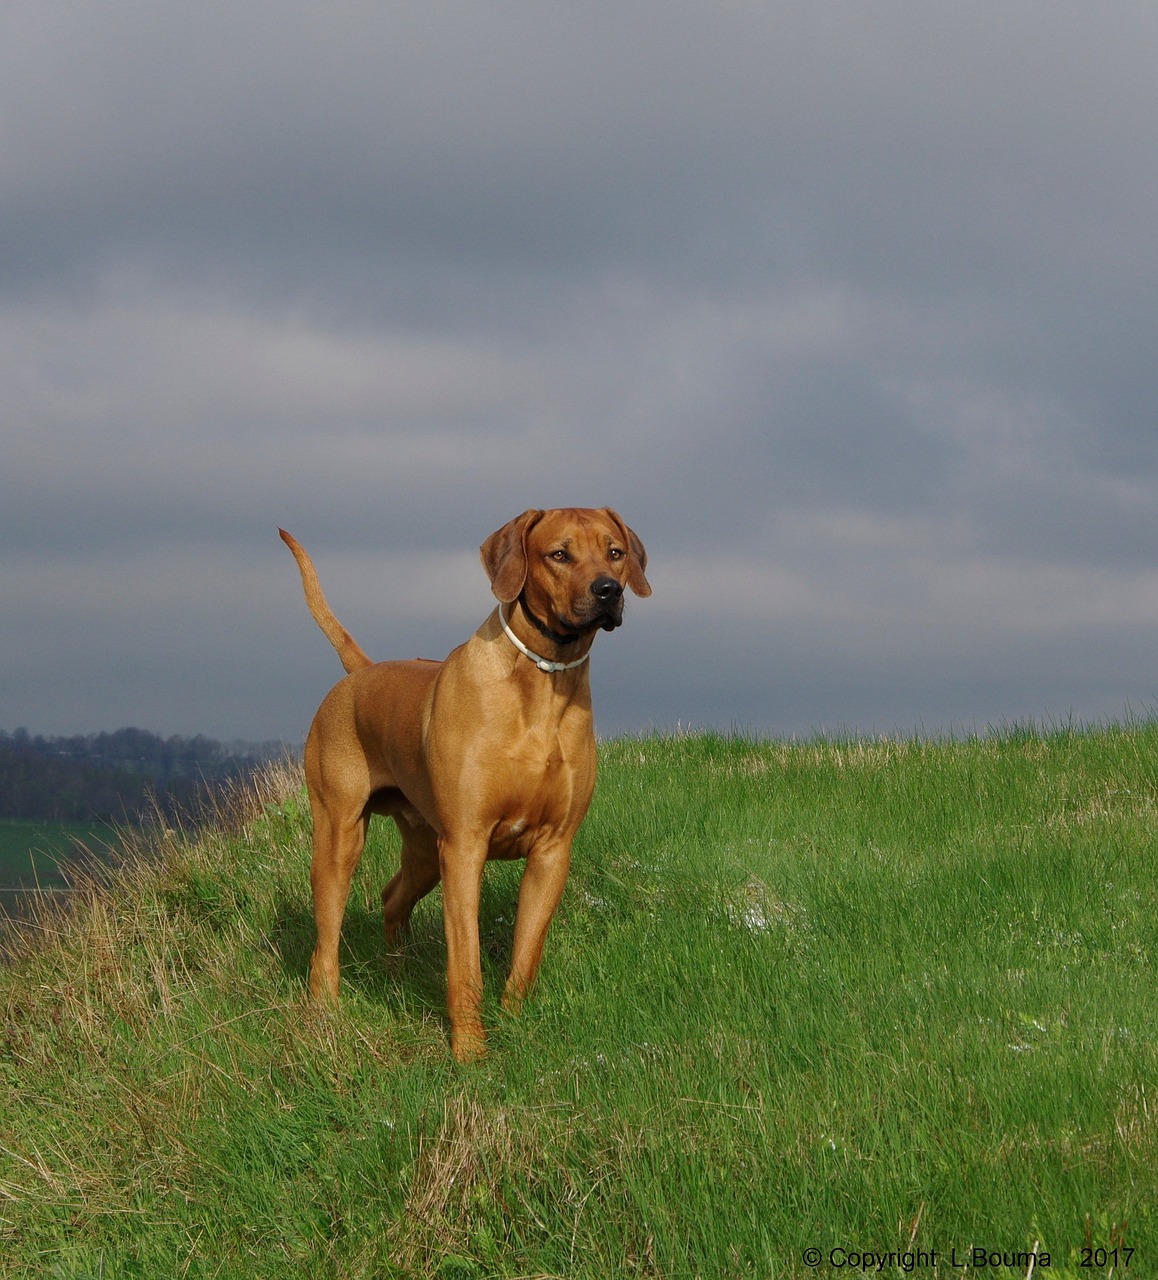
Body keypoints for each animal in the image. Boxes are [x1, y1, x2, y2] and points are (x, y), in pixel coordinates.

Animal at [275, 509, 644, 1059]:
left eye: (614, 552)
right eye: (559, 554)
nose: (608, 591)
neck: (543, 680)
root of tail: (362, 672)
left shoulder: (553, 850)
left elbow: (526, 953)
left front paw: (514, 1024)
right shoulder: (466, 846)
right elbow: (465, 963)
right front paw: (470, 1051)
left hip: (426, 849)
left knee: (392, 898)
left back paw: (397, 972)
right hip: (341, 836)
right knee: (326, 939)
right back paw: (324, 1011)